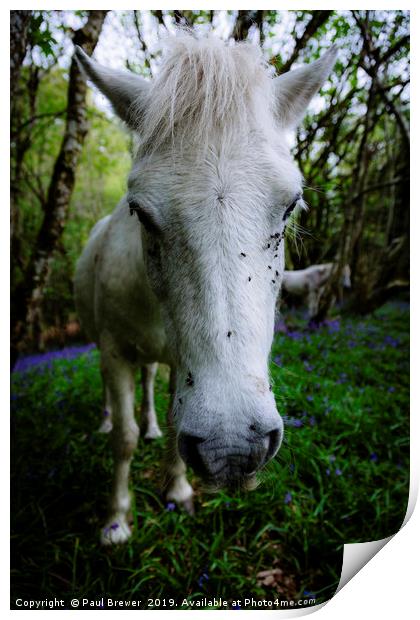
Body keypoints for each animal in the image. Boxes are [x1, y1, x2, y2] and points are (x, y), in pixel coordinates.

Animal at [74, 32, 336, 544]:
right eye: (139, 211)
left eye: (289, 206)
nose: (231, 447)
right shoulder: (114, 351)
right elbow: (124, 441)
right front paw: (116, 520)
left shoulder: (180, 361)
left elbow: (172, 415)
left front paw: (178, 491)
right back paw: (105, 421)